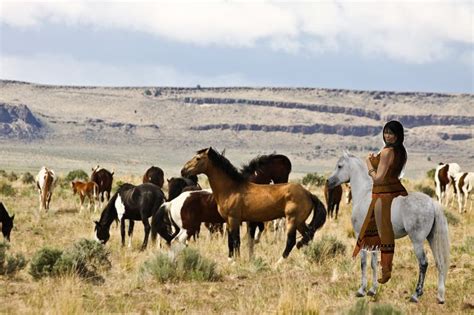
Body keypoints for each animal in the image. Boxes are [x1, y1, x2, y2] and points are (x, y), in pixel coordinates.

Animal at [180, 149, 328, 262]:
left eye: (198, 158)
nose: (183, 170)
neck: (231, 189)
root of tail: (308, 194)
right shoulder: (232, 221)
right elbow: (235, 241)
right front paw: (234, 259)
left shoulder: (234, 220)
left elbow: (236, 241)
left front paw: (235, 261)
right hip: (300, 222)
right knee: (308, 236)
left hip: (292, 220)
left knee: (292, 241)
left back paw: (278, 263)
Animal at [328, 152, 450, 304]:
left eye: (339, 166)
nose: (328, 182)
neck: (364, 195)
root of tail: (432, 203)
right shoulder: (374, 241)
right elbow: (374, 263)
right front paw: (372, 290)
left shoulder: (360, 237)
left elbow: (363, 263)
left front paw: (361, 290)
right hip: (432, 238)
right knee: (439, 262)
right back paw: (440, 297)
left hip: (417, 241)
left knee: (423, 263)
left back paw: (416, 295)